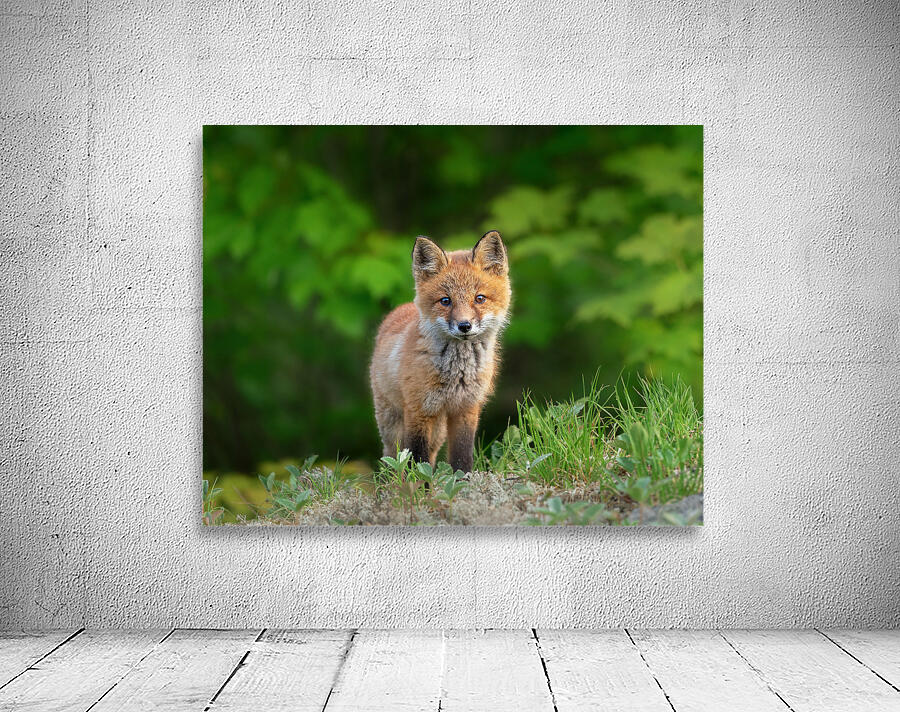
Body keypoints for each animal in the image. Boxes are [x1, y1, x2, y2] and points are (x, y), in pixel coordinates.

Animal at [369, 230, 511, 473]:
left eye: (479, 298)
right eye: (446, 301)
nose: (464, 326)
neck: (457, 374)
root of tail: (400, 309)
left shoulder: (466, 408)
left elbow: (462, 455)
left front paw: (461, 480)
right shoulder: (419, 409)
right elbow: (418, 458)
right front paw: (421, 484)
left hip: (438, 430)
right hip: (393, 422)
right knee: (392, 457)